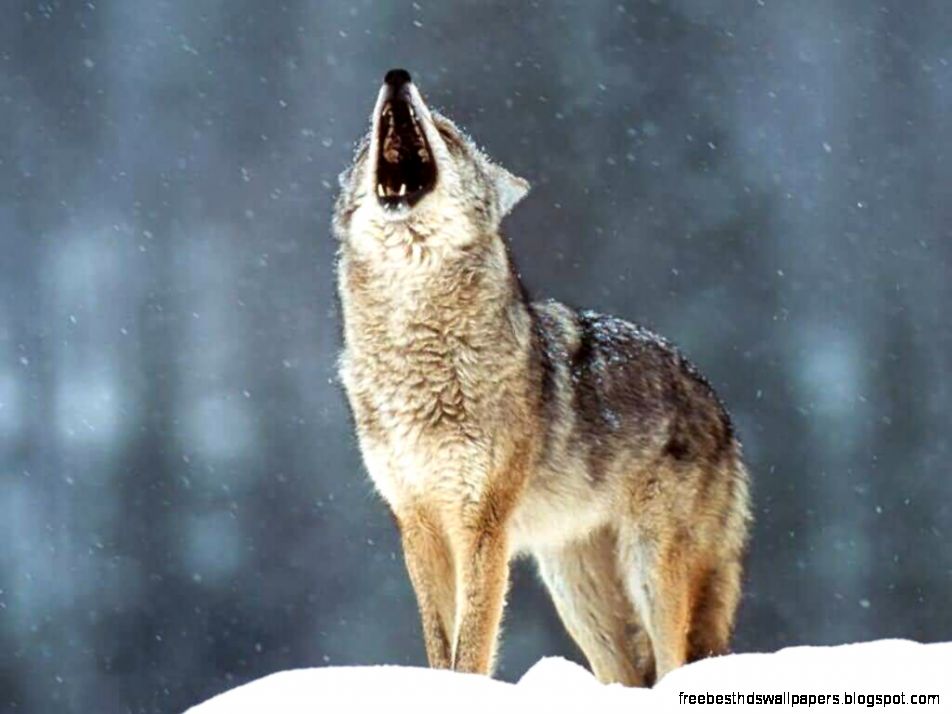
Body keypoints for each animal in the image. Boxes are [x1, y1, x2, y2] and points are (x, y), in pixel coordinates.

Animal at [333, 68, 751, 686]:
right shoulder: (418, 522)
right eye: (366, 144)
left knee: (674, 662)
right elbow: (439, 646)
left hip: (651, 570)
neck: (416, 355)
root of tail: (718, 406)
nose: (397, 77)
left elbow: (471, 649)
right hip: (575, 592)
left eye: (447, 134)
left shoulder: (483, 524)